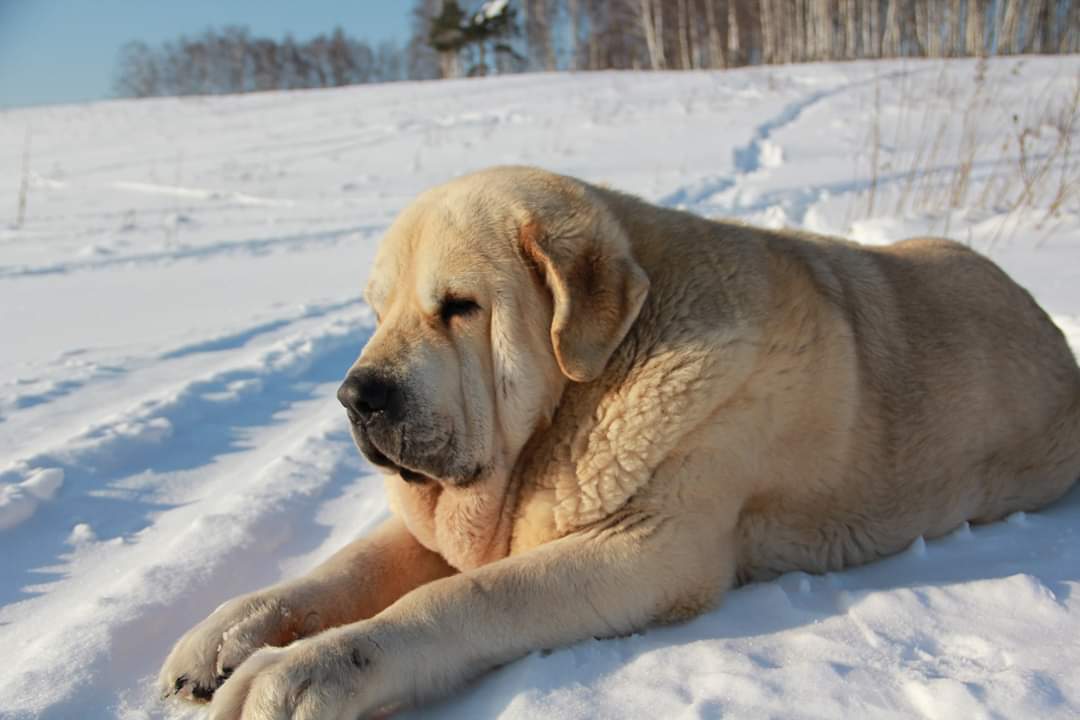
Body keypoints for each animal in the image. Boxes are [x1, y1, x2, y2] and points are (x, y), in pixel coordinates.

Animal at [159, 167, 1080, 720]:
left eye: (458, 308)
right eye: (377, 311)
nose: (357, 395)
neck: (582, 396)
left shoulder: (648, 549)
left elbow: (462, 596)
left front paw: (298, 673)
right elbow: (338, 571)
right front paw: (225, 637)